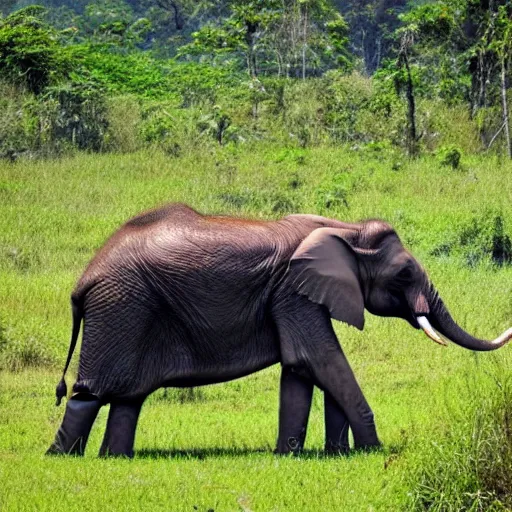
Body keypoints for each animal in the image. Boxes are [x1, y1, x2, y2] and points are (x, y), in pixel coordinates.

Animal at [46, 202, 510, 458]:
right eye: (405, 274)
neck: (345, 227)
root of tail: (82, 281)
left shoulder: (295, 294)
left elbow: (301, 372)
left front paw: (305, 454)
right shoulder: (291, 290)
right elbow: (318, 359)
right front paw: (373, 452)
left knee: (129, 398)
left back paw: (114, 458)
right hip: (122, 307)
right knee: (90, 394)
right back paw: (60, 459)